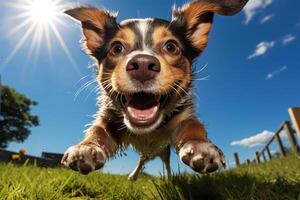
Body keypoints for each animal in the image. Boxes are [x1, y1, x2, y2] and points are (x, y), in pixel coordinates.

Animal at [61, 0, 248, 180]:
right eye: (116, 48)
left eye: (171, 46)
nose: (142, 65)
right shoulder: (109, 119)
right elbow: (97, 129)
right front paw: (86, 147)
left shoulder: (181, 118)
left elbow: (192, 125)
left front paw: (201, 146)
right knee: (142, 160)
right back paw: (133, 176)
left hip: (163, 150)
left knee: (164, 163)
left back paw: (169, 178)